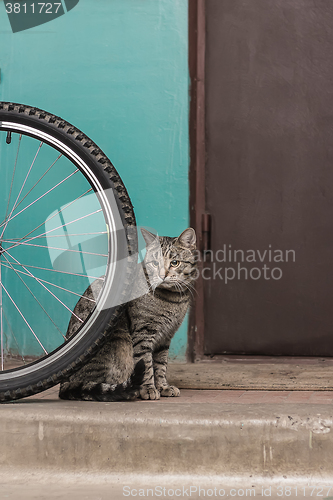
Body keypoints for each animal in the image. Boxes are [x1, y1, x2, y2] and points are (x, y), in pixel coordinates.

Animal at [58, 229, 196, 400]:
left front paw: (163, 386)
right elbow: (147, 364)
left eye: (175, 262)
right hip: (119, 343)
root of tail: (63, 383)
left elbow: (160, 365)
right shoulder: (143, 333)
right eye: (155, 263)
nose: (162, 275)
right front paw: (148, 389)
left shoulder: (166, 337)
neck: (173, 299)